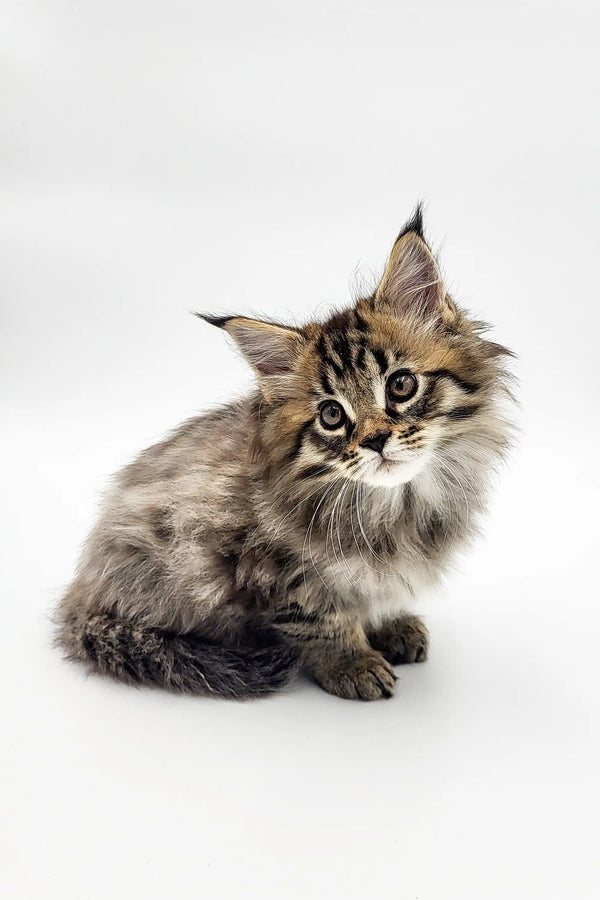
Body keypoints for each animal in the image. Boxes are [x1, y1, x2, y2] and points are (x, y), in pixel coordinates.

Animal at [55, 209, 510, 704]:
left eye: (401, 385)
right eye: (332, 415)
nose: (374, 440)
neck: (394, 506)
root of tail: (80, 592)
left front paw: (389, 625)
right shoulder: (272, 567)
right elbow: (322, 621)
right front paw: (351, 662)